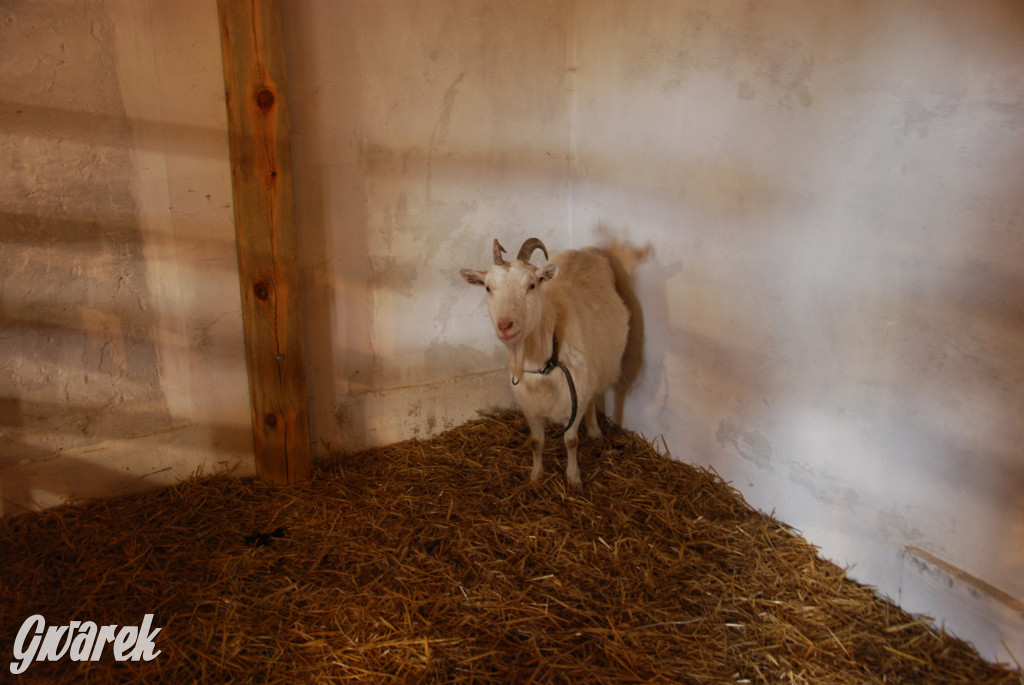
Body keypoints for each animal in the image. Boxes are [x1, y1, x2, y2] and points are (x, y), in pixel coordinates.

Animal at [460, 236, 626, 485]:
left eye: (532, 285)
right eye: (488, 288)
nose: (505, 326)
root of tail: (584, 251)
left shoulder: (574, 396)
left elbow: (571, 442)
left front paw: (573, 477)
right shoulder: (531, 407)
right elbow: (536, 443)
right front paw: (536, 476)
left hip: (601, 368)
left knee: (593, 397)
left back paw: (595, 431)